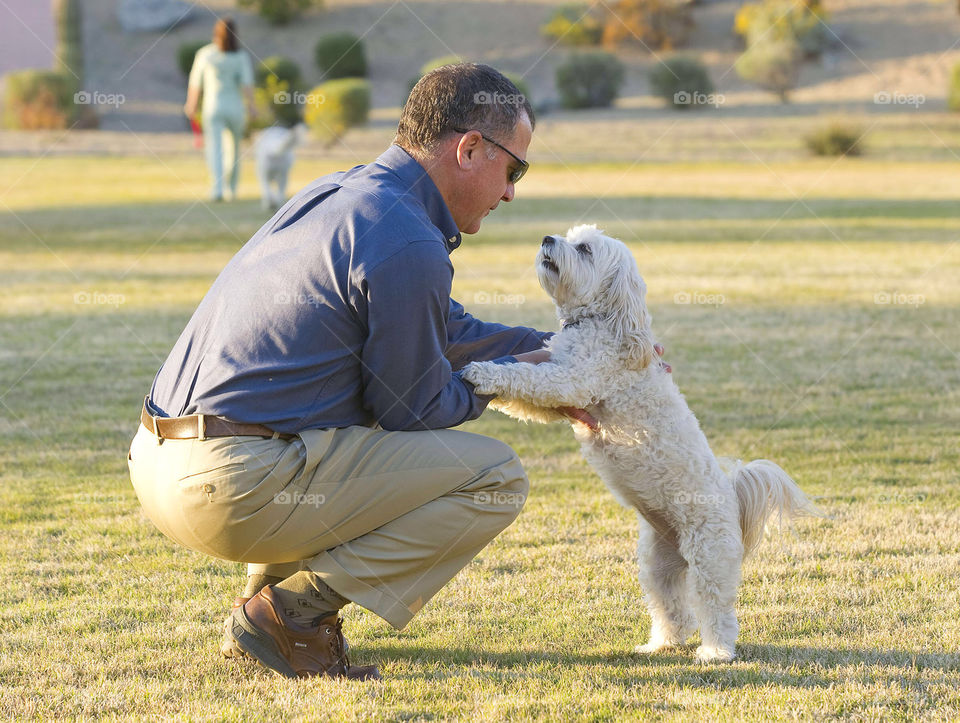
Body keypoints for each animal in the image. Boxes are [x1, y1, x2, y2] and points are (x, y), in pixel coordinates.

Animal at [464, 223, 816, 664]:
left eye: (584, 249)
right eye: (568, 236)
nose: (547, 239)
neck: (601, 321)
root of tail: (731, 495)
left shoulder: (573, 378)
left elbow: (530, 379)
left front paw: (482, 373)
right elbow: (527, 395)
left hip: (709, 555)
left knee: (715, 607)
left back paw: (716, 651)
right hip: (657, 564)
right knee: (673, 609)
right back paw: (661, 644)